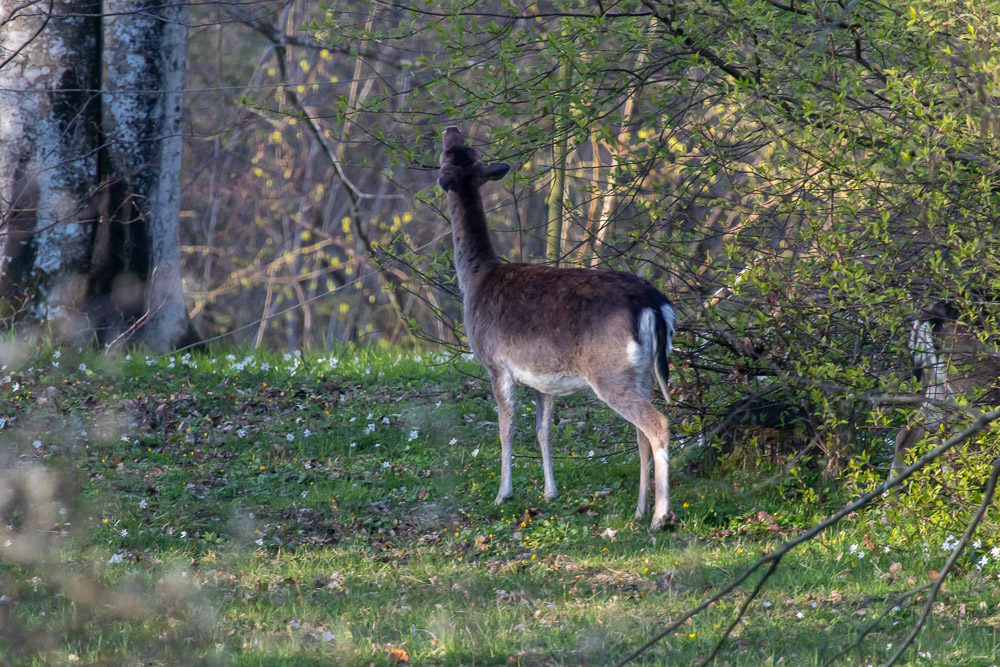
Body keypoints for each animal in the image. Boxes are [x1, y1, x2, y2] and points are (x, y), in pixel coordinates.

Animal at [440, 126, 680, 532]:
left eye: (448, 155)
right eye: (463, 150)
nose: (450, 128)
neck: (475, 281)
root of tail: (653, 304)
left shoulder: (496, 365)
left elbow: (506, 429)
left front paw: (503, 493)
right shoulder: (542, 378)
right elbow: (543, 431)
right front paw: (550, 492)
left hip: (610, 372)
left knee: (658, 424)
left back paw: (660, 517)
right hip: (642, 372)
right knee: (641, 433)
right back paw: (639, 510)